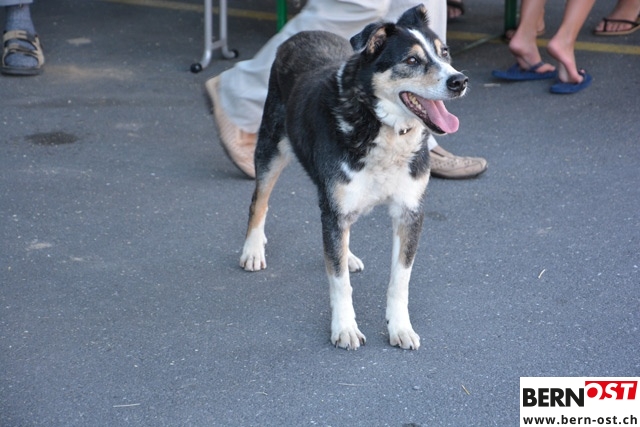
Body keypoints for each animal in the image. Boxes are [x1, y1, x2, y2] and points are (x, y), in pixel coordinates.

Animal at [239, 4, 468, 350]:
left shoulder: (409, 212)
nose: (460, 81)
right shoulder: (335, 208)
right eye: (412, 60)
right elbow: (339, 283)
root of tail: (301, 34)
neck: (378, 124)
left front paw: (400, 327)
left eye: (445, 53)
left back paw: (347, 255)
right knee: (259, 202)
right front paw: (345, 328)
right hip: (271, 148)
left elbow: (400, 280)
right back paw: (252, 249)